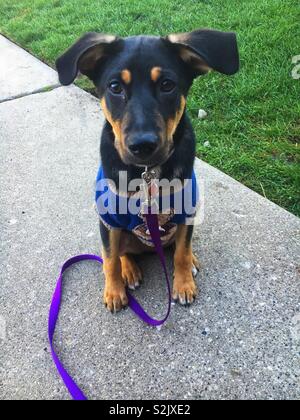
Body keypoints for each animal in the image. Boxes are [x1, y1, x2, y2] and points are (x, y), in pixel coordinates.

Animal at [55, 29, 239, 312]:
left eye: (167, 85)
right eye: (115, 87)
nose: (142, 146)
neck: (148, 174)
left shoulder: (186, 211)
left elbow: (182, 252)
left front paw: (183, 284)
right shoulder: (108, 220)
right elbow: (109, 259)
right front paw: (113, 291)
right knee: (120, 252)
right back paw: (128, 270)